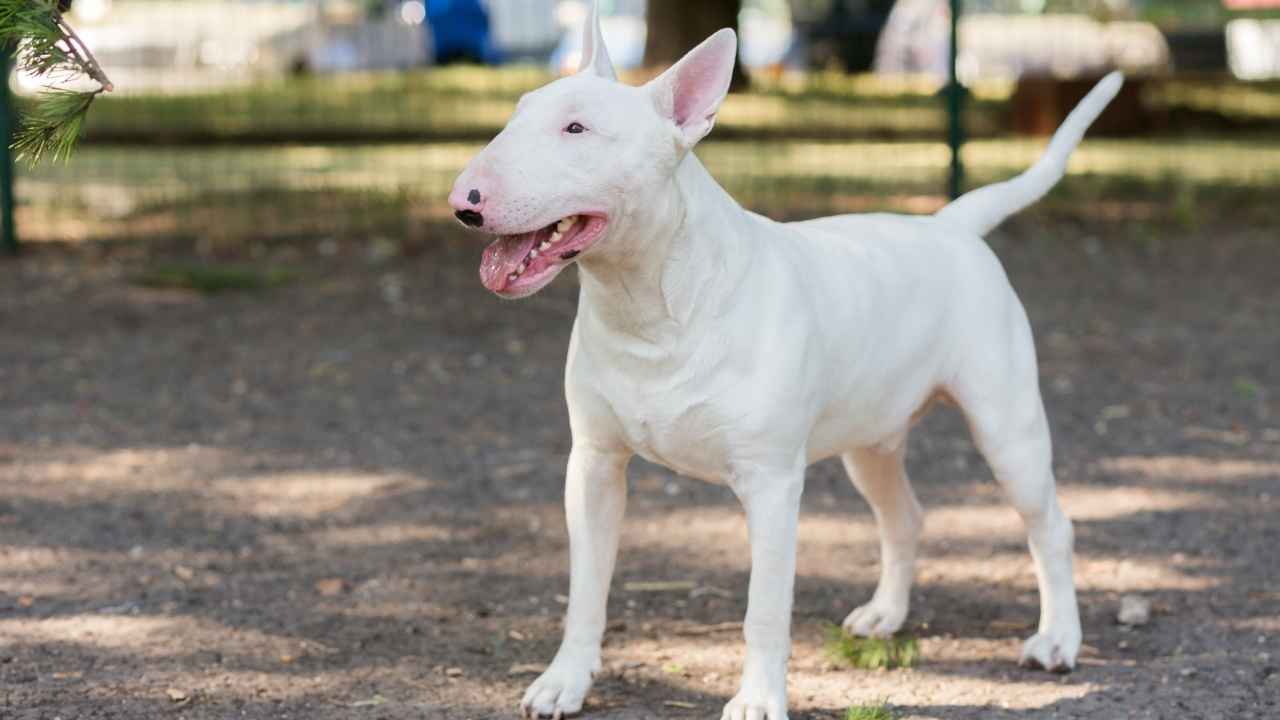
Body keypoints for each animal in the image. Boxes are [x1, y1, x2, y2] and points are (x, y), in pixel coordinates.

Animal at [448, 7, 1121, 717]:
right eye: (518, 113)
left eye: (577, 129)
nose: (463, 201)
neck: (653, 308)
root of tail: (950, 226)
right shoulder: (594, 465)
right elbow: (585, 588)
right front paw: (564, 681)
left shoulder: (771, 484)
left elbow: (765, 609)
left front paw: (758, 700)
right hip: (870, 441)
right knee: (905, 516)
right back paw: (885, 615)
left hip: (1007, 427)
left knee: (1051, 527)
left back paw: (1057, 639)